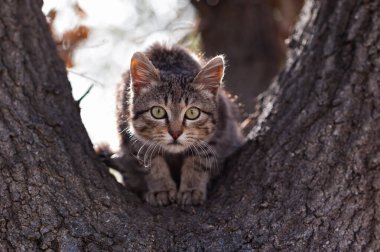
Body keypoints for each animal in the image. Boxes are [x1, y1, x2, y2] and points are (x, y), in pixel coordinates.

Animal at [108, 42, 243, 205]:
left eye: (192, 113)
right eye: (158, 112)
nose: (175, 133)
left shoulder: (221, 129)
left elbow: (199, 159)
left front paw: (191, 189)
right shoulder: (130, 136)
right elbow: (151, 162)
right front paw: (162, 189)